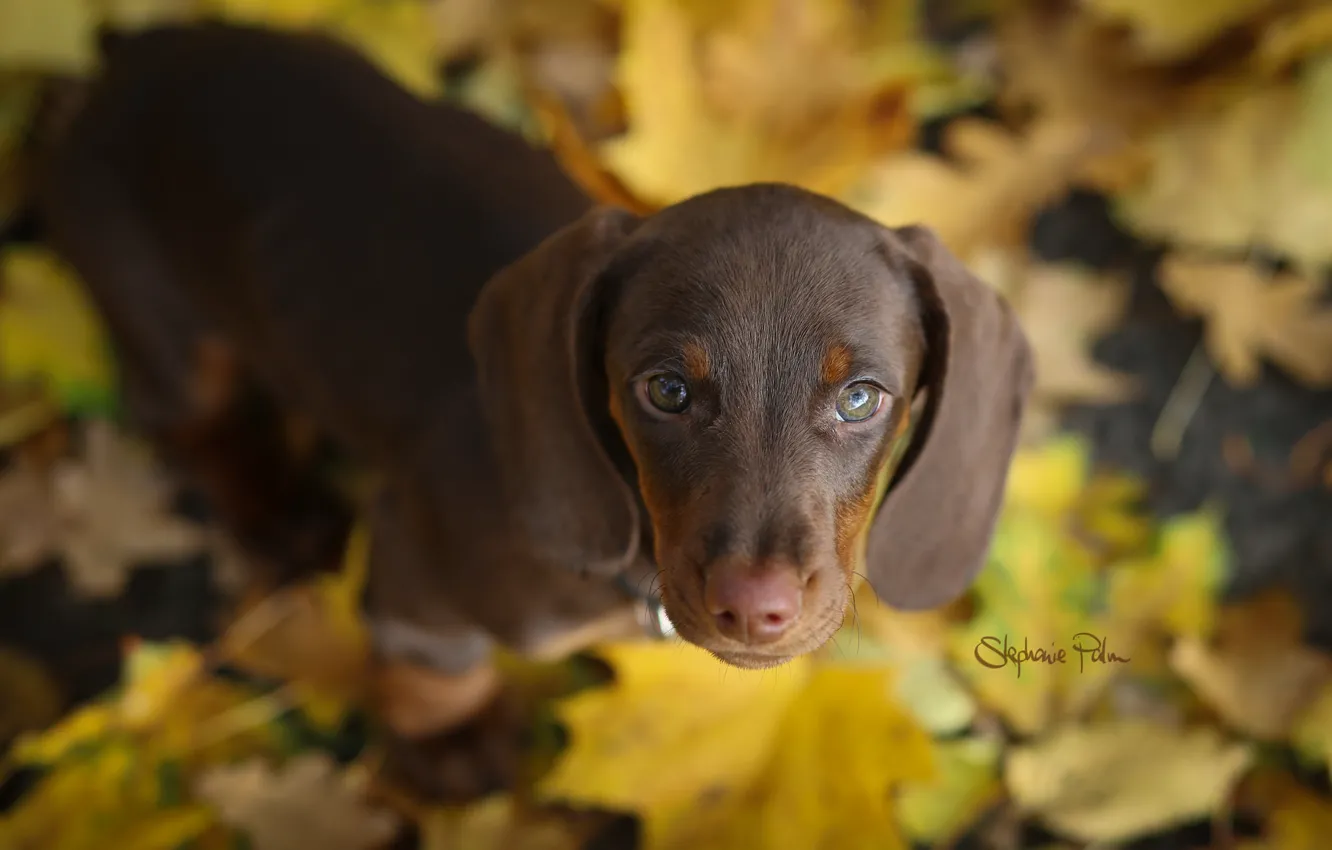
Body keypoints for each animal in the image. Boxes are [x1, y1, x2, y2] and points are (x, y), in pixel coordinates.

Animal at [36, 21, 1033, 799]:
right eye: (665, 390)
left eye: (862, 397)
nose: (757, 610)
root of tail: (124, 62)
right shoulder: (414, 554)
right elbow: (429, 662)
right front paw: (450, 741)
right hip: (158, 315)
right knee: (193, 424)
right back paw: (284, 521)